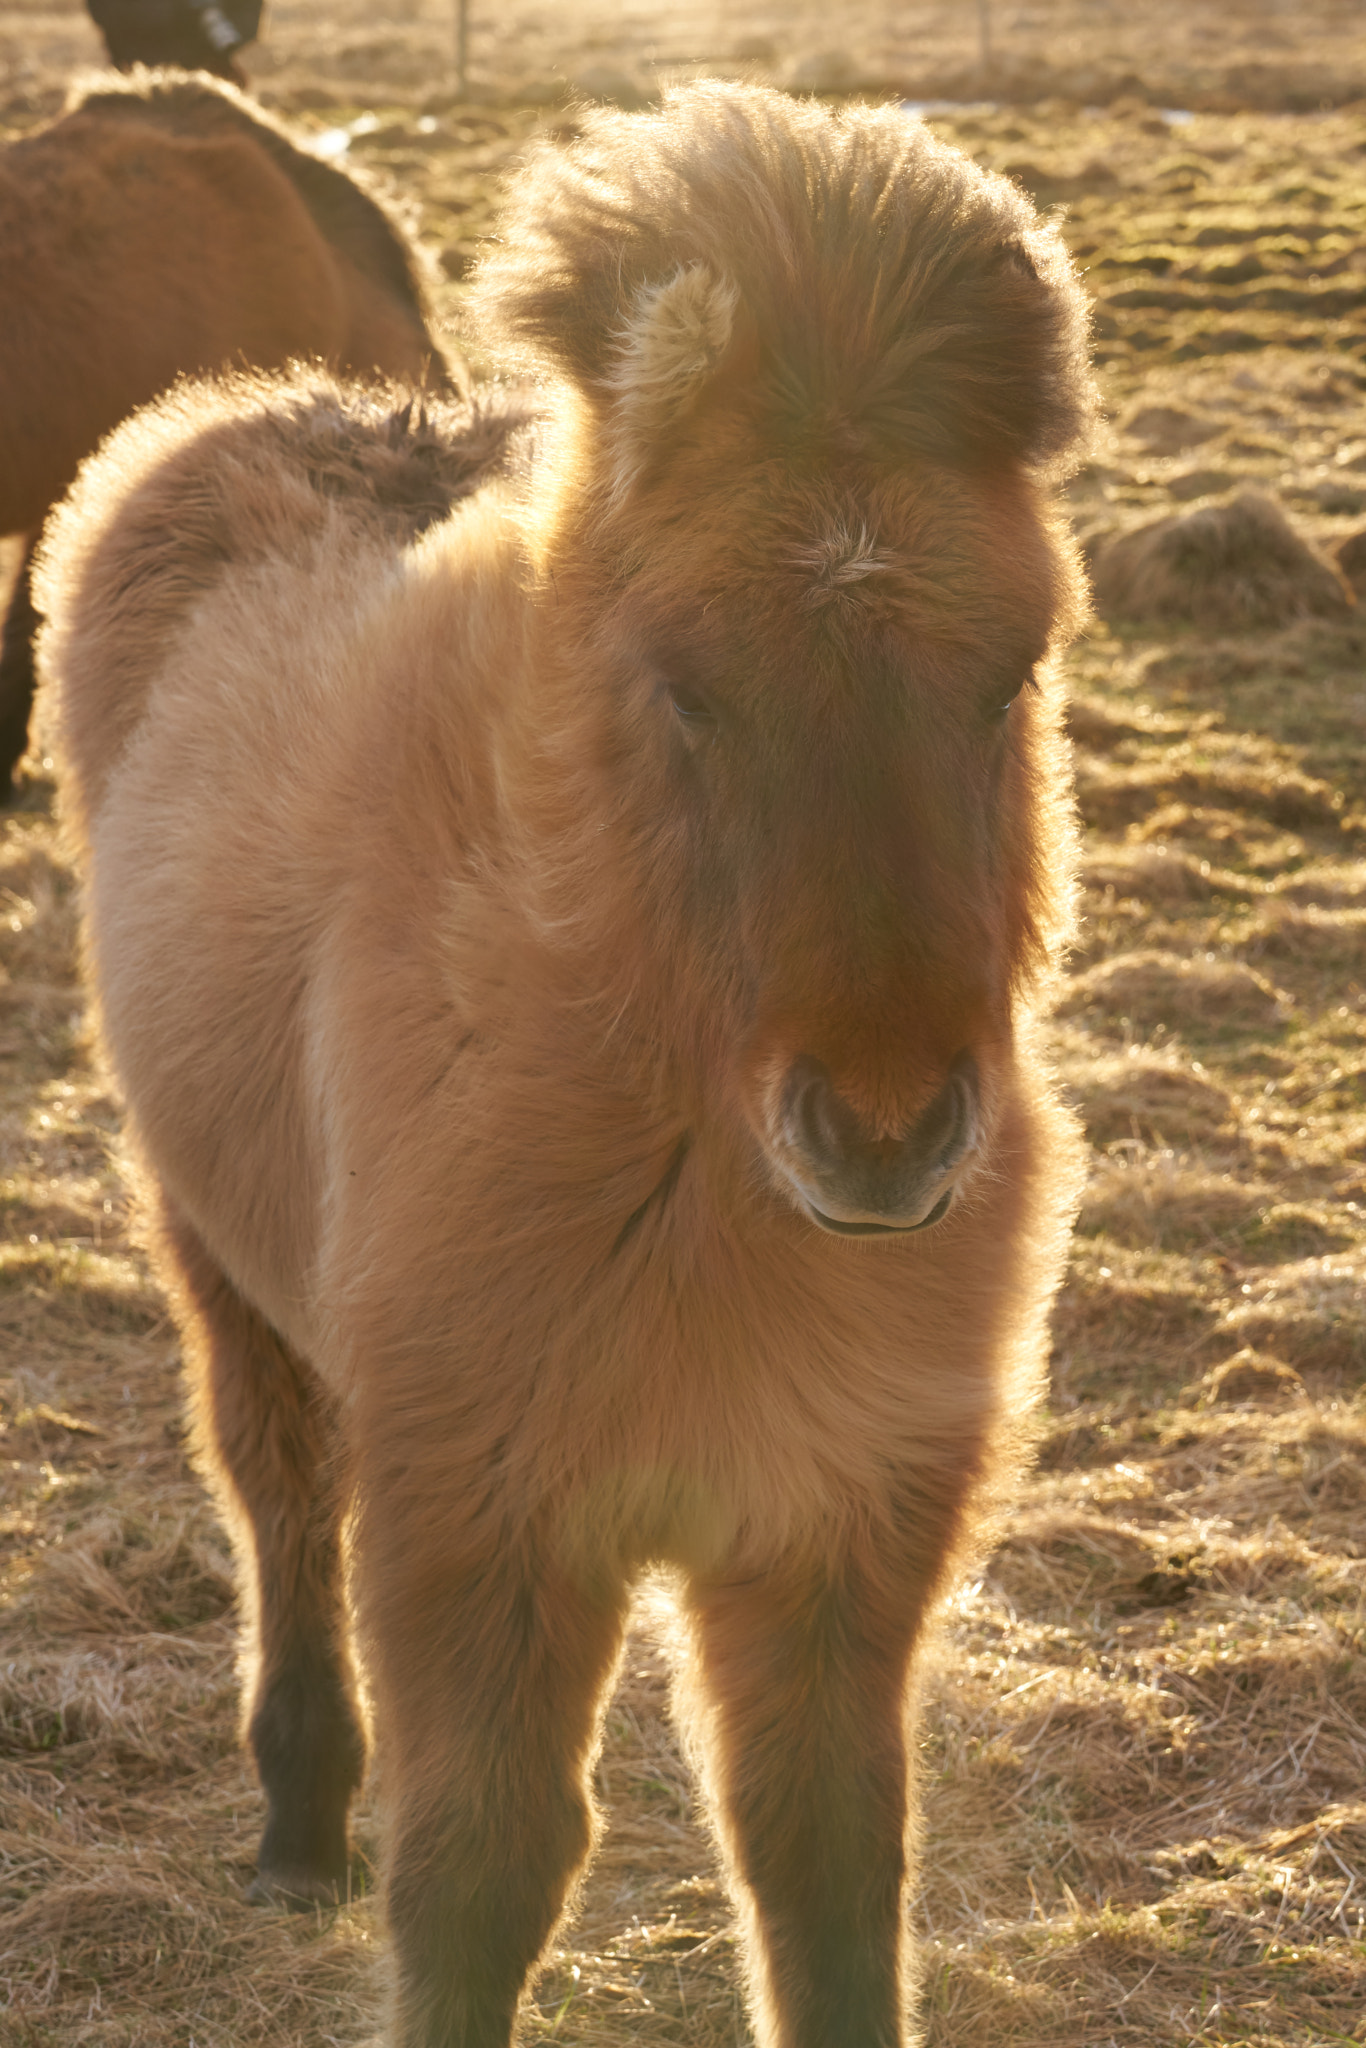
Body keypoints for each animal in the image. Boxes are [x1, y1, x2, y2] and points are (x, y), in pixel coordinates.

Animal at [37, 83, 1097, 2048]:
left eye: (1011, 674)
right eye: (683, 686)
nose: (883, 1140)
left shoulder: (831, 1540)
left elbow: (827, 1885)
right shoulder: (490, 1530)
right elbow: (481, 1881)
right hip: (223, 1258)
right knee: (278, 1492)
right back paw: (298, 1817)